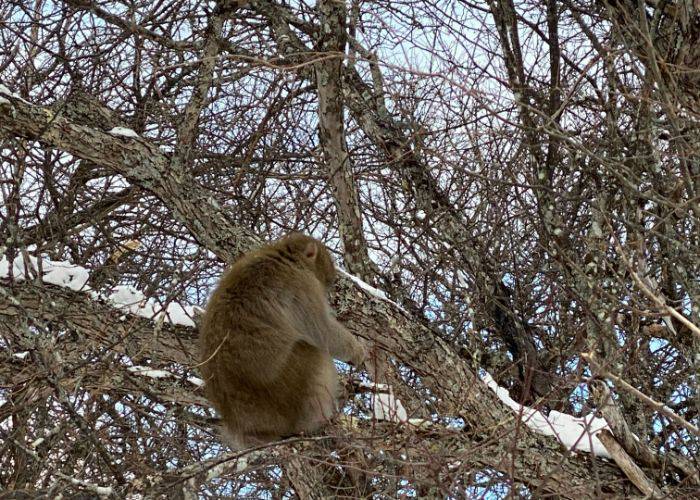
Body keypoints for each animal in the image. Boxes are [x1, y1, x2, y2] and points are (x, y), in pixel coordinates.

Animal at [198, 233, 366, 450]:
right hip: (289, 393)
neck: (286, 258)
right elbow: (323, 332)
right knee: (314, 353)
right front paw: (358, 351)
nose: (331, 282)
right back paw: (317, 420)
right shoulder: (302, 286)